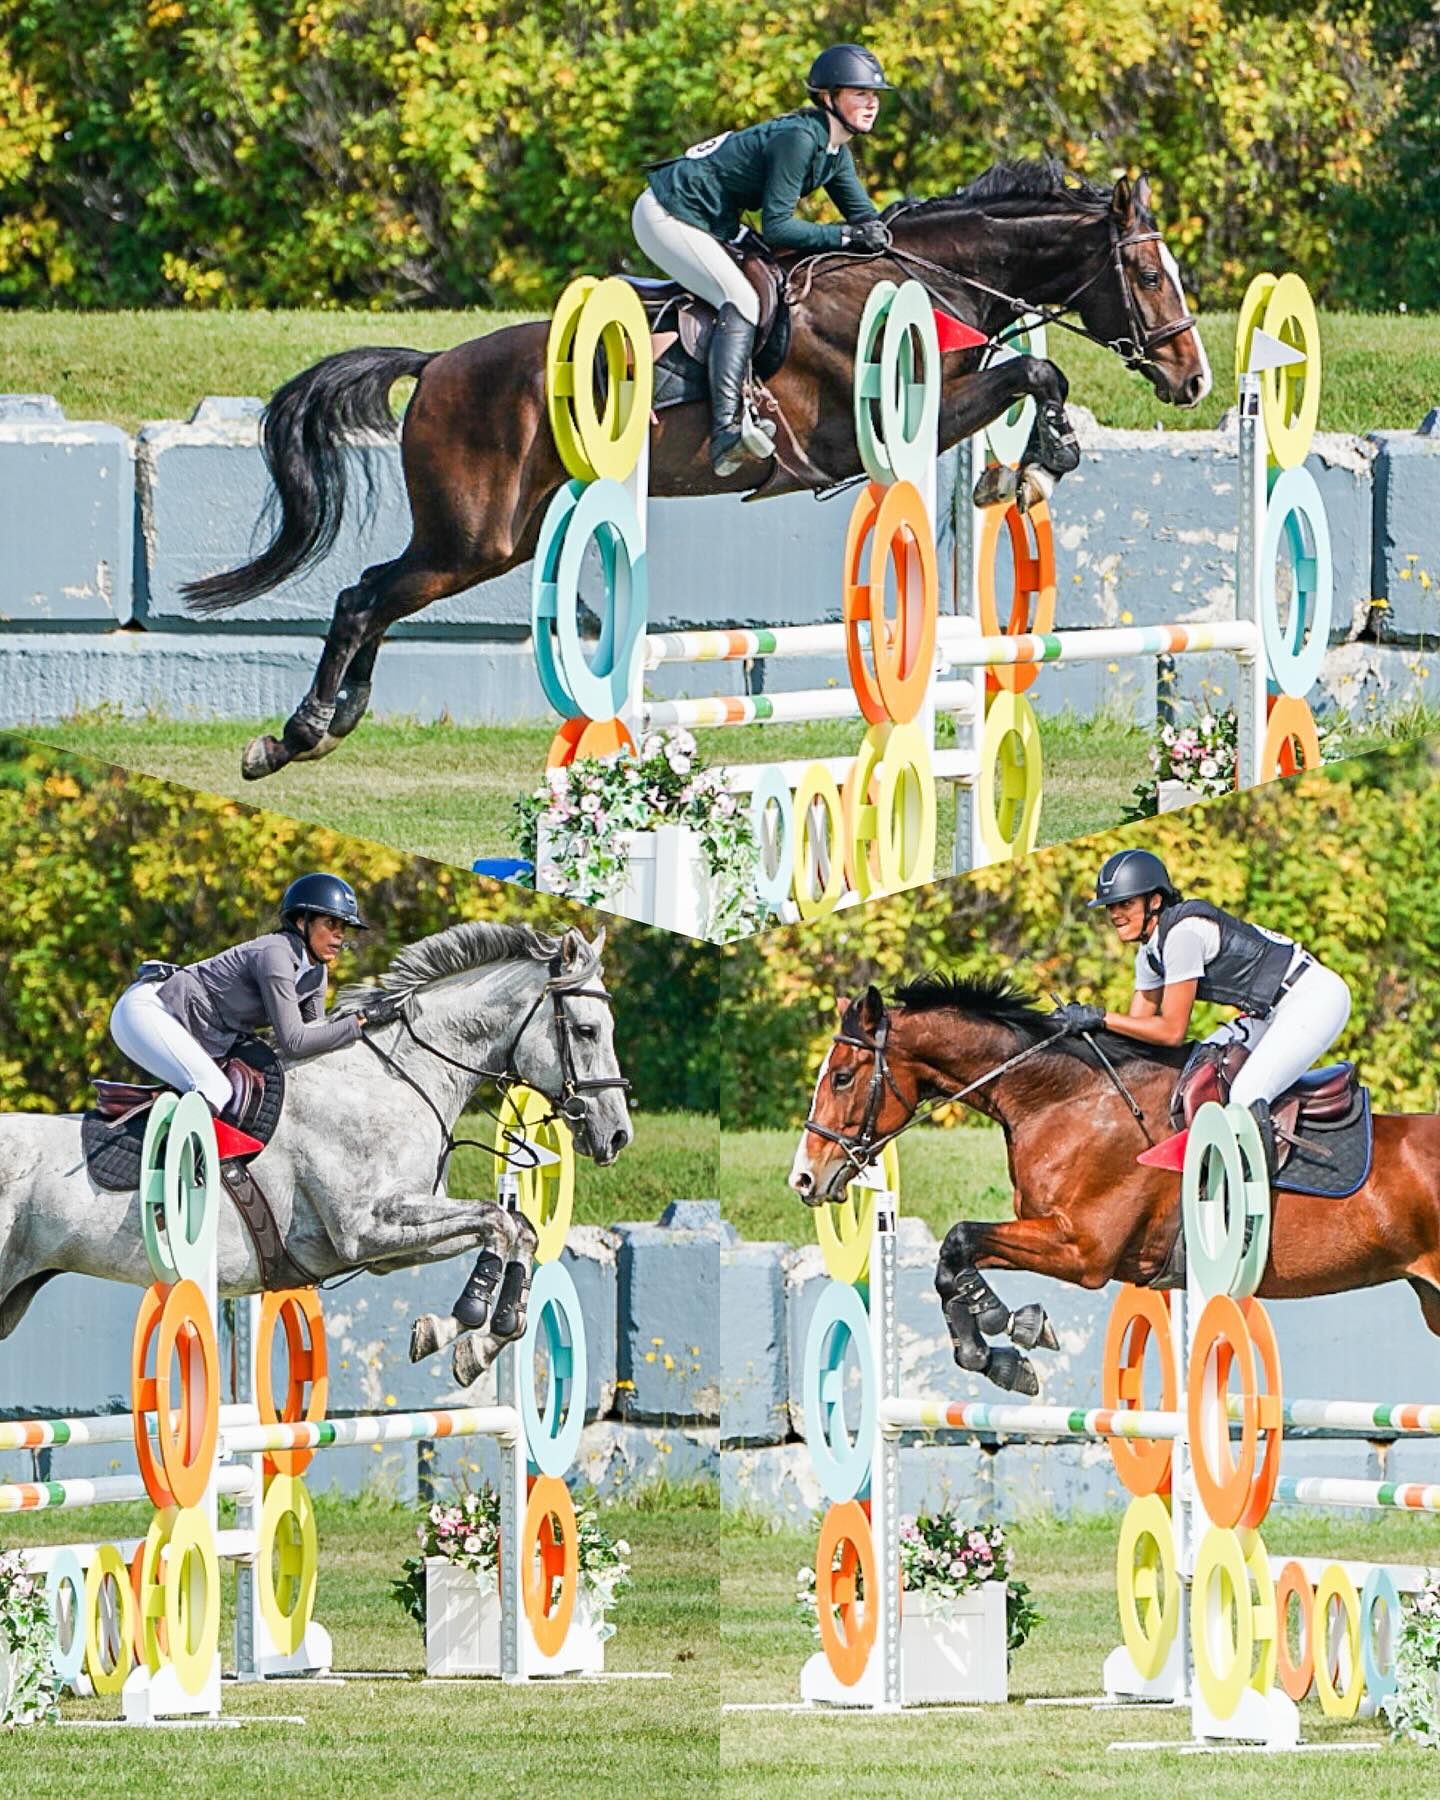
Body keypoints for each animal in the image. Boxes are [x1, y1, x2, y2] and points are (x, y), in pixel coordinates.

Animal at [0, 921, 631, 1389]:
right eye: (585, 1030)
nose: (617, 1136)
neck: (393, 1079)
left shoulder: (385, 1245)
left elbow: (516, 1226)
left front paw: (471, 1339)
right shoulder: (364, 1228)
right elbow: (497, 1219)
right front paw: (473, 1319)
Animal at [181, 163, 1210, 782]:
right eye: (1149, 275)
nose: (1193, 378)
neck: (916, 280)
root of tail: (433, 366)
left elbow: (1034, 377)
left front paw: (1033, 470)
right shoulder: (855, 438)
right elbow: (1038, 373)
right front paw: (1041, 463)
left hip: (493, 542)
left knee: (376, 596)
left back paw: (333, 721)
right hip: (470, 535)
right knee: (363, 596)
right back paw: (298, 734)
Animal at [789, 976, 1440, 1396]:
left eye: (842, 1077)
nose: (804, 1178)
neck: (1065, 1100)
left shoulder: (1083, 1249)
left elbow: (959, 1240)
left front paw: (1004, 1324)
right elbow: (952, 1262)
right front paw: (1000, 1354)